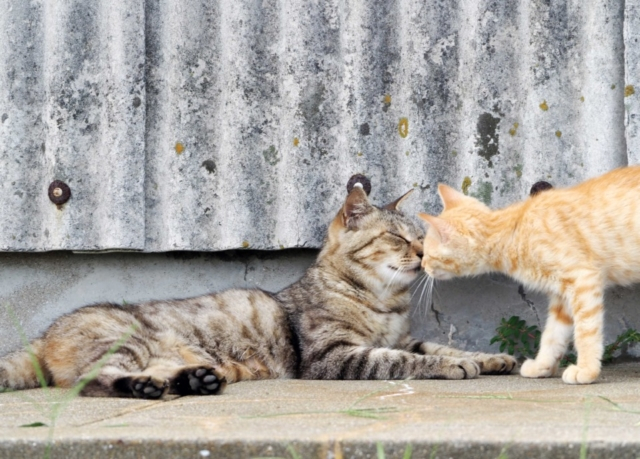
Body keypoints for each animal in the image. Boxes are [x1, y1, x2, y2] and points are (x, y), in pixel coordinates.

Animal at [1, 179, 516, 398]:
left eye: (421, 236)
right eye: (397, 237)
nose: (424, 253)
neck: (385, 304)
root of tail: (44, 335)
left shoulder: (404, 336)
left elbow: (444, 346)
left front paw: (491, 359)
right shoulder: (333, 355)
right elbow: (405, 360)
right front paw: (454, 368)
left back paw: (195, 381)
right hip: (127, 343)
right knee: (92, 381)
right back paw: (145, 388)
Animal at [418, 165, 640, 384]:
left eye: (427, 254)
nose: (422, 265)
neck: (514, 231)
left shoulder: (582, 279)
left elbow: (586, 330)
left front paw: (586, 369)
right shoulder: (562, 296)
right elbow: (552, 334)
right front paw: (542, 366)